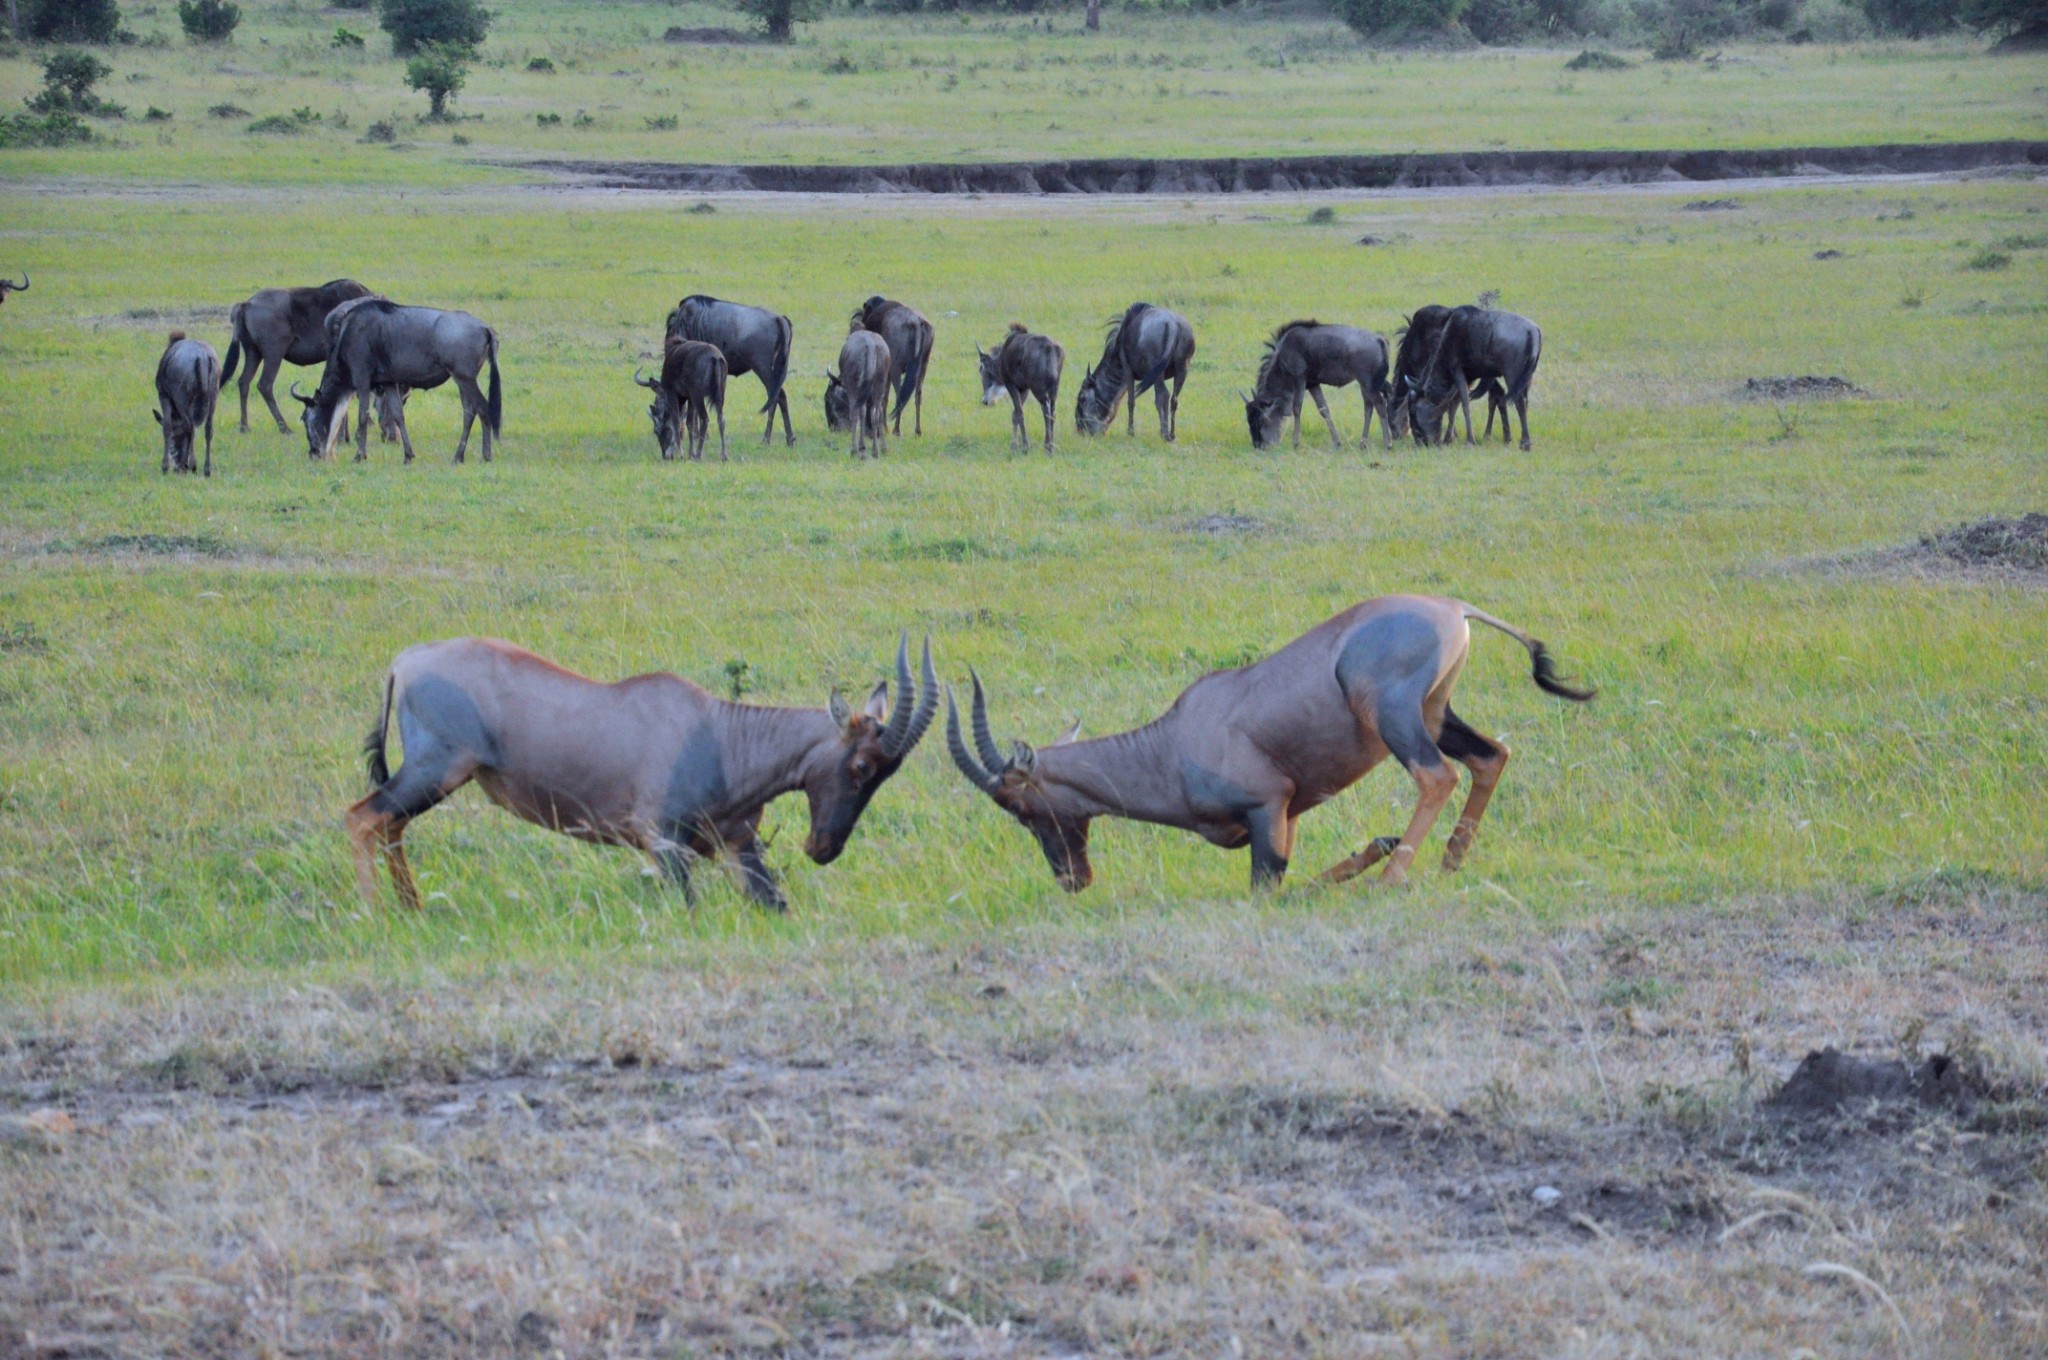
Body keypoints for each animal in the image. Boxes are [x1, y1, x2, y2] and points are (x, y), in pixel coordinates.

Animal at [152, 329, 221, 475]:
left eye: (174, 439)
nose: (177, 466)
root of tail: (203, 358)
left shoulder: (164, 395)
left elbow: (167, 426)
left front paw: (165, 466)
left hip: (181, 397)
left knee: (190, 427)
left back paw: (191, 464)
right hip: (213, 395)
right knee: (208, 428)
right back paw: (206, 469)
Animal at [348, 630, 937, 909]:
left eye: (887, 772)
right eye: (859, 764)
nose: (823, 848)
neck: (718, 734)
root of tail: (405, 661)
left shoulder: (736, 847)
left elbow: (776, 905)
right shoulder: (664, 843)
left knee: (391, 826)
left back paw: (413, 909)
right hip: (437, 769)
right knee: (363, 818)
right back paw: (379, 914)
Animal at [946, 593, 1597, 893]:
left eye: (1018, 807)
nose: (1071, 878)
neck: (1175, 739)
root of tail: (1453, 607)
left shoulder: (1266, 808)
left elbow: (1273, 891)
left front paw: (1378, 854)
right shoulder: (1290, 814)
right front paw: (1376, 846)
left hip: (1394, 717)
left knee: (1438, 775)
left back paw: (1394, 878)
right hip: (1436, 713)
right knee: (1490, 756)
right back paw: (1449, 862)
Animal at [978, 325, 1064, 454]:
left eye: (981, 369)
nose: (985, 401)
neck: (1000, 360)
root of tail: (1049, 348)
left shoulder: (1011, 384)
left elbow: (1019, 413)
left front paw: (1023, 446)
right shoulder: (1024, 388)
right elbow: (1014, 414)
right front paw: (1014, 445)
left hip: (1038, 388)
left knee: (1045, 409)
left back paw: (1047, 446)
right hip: (1054, 388)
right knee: (1053, 412)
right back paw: (1051, 445)